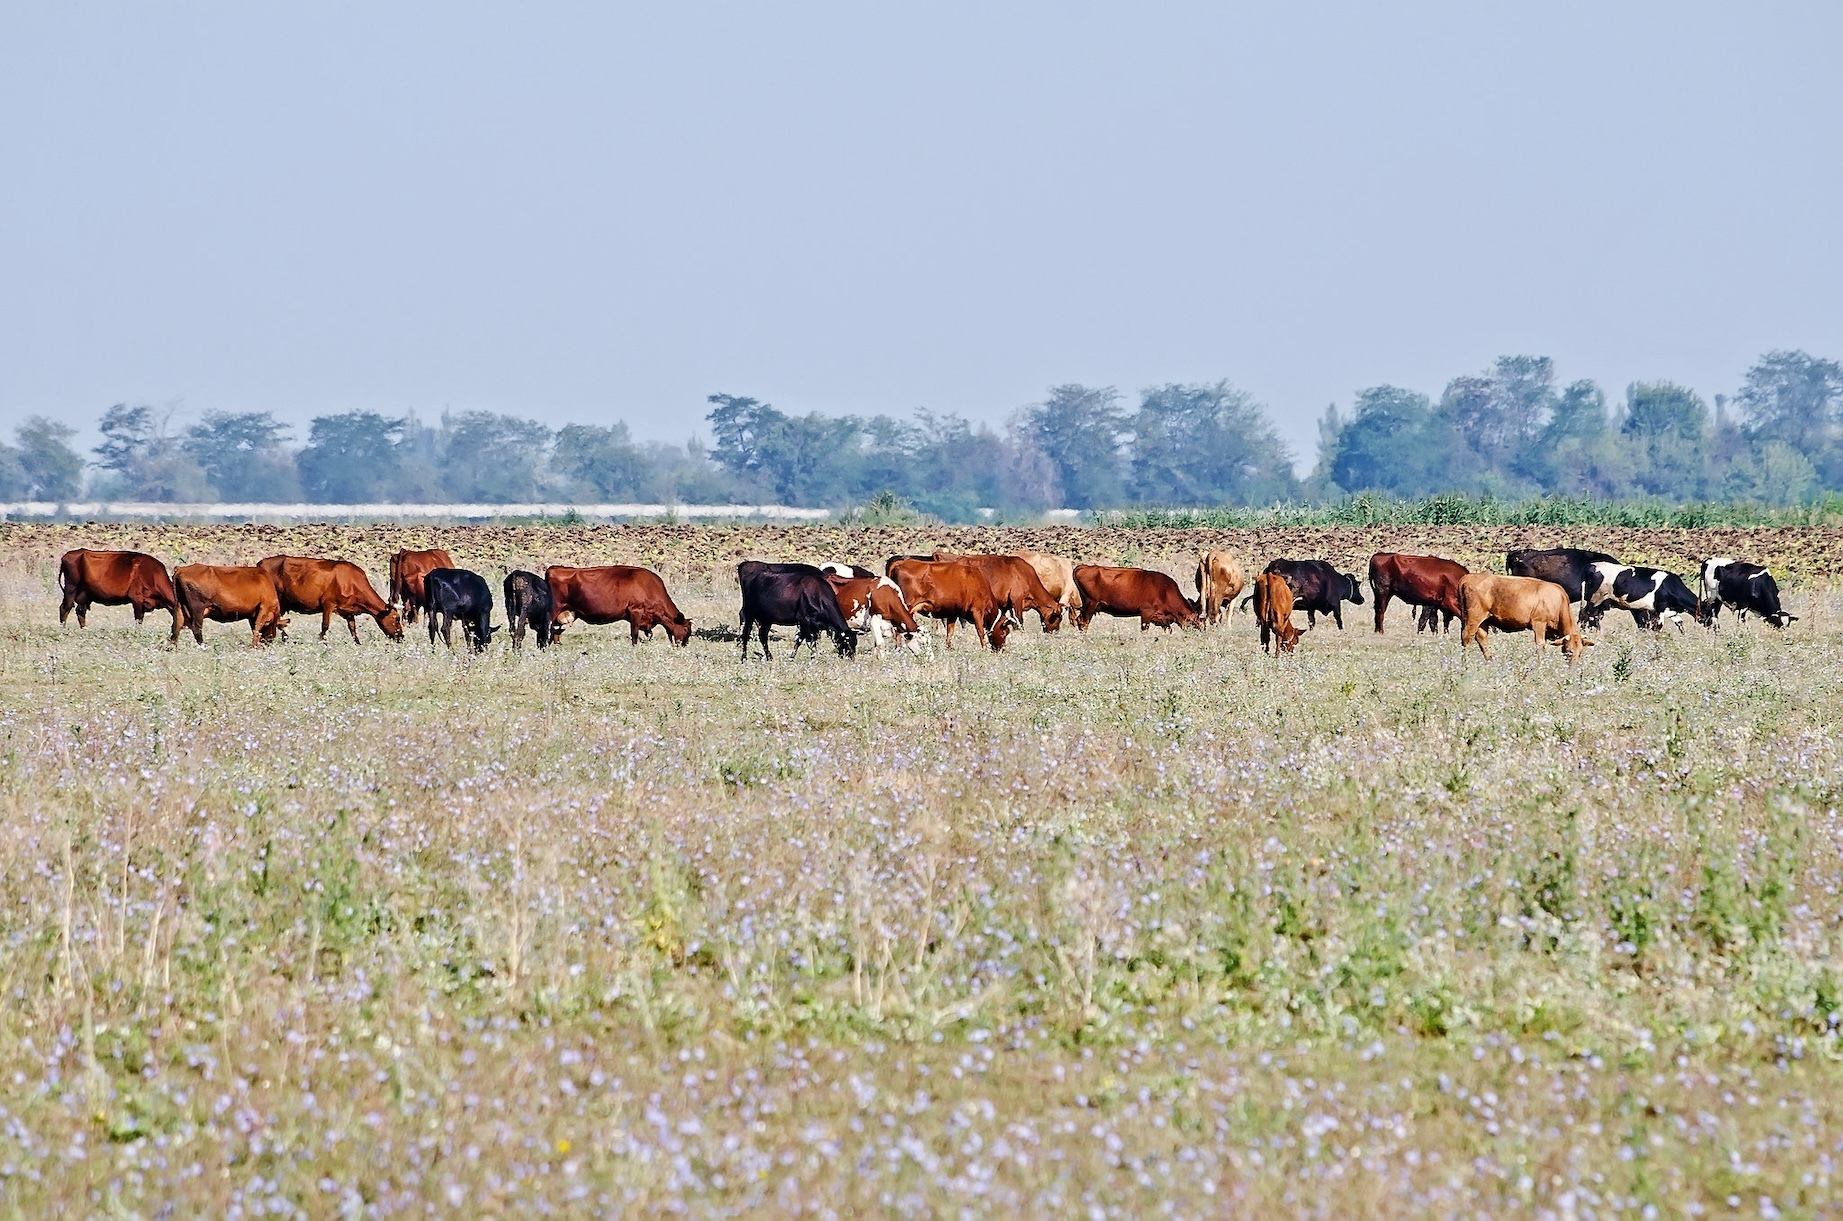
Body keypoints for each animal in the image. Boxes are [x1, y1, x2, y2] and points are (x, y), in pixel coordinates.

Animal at [257, 555, 404, 643]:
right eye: (397, 618)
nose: (401, 636)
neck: (351, 582)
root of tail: (262, 562)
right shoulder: (328, 604)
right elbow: (325, 626)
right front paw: (321, 642)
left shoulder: (348, 611)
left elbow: (353, 629)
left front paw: (358, 644)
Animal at [545, 565, 692, 647]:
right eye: (685, 629)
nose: (685, 644)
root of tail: (554, 568)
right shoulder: (635, 611)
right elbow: (634, 634)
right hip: (554, 609)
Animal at [931, 552, 1064, 631]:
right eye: (1058, 618)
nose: (1055, 632)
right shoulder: (1017, 599)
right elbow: (1019, 618)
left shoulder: (1006, 604)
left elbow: (1006, 617)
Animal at [1070, 565, 1203, 633]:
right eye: (1196, 623)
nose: (1202, 633)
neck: (1165, 591)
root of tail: (1083, 566)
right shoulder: (1146, 612)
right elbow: (1144, 630)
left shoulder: (1163, 619)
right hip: (1091, 604)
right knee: (1083, 622)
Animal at [1457, 573, 1593, 661]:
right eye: (1569, 651)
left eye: (1580, 652)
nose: (1573, 668)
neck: (1557, 601)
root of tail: (1469, 576)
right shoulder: (1539, 623)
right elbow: (1540, 645)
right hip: (1473, 617)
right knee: (1466, 638)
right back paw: (1465, 665)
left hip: (1484, 620)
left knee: (1482, 639)